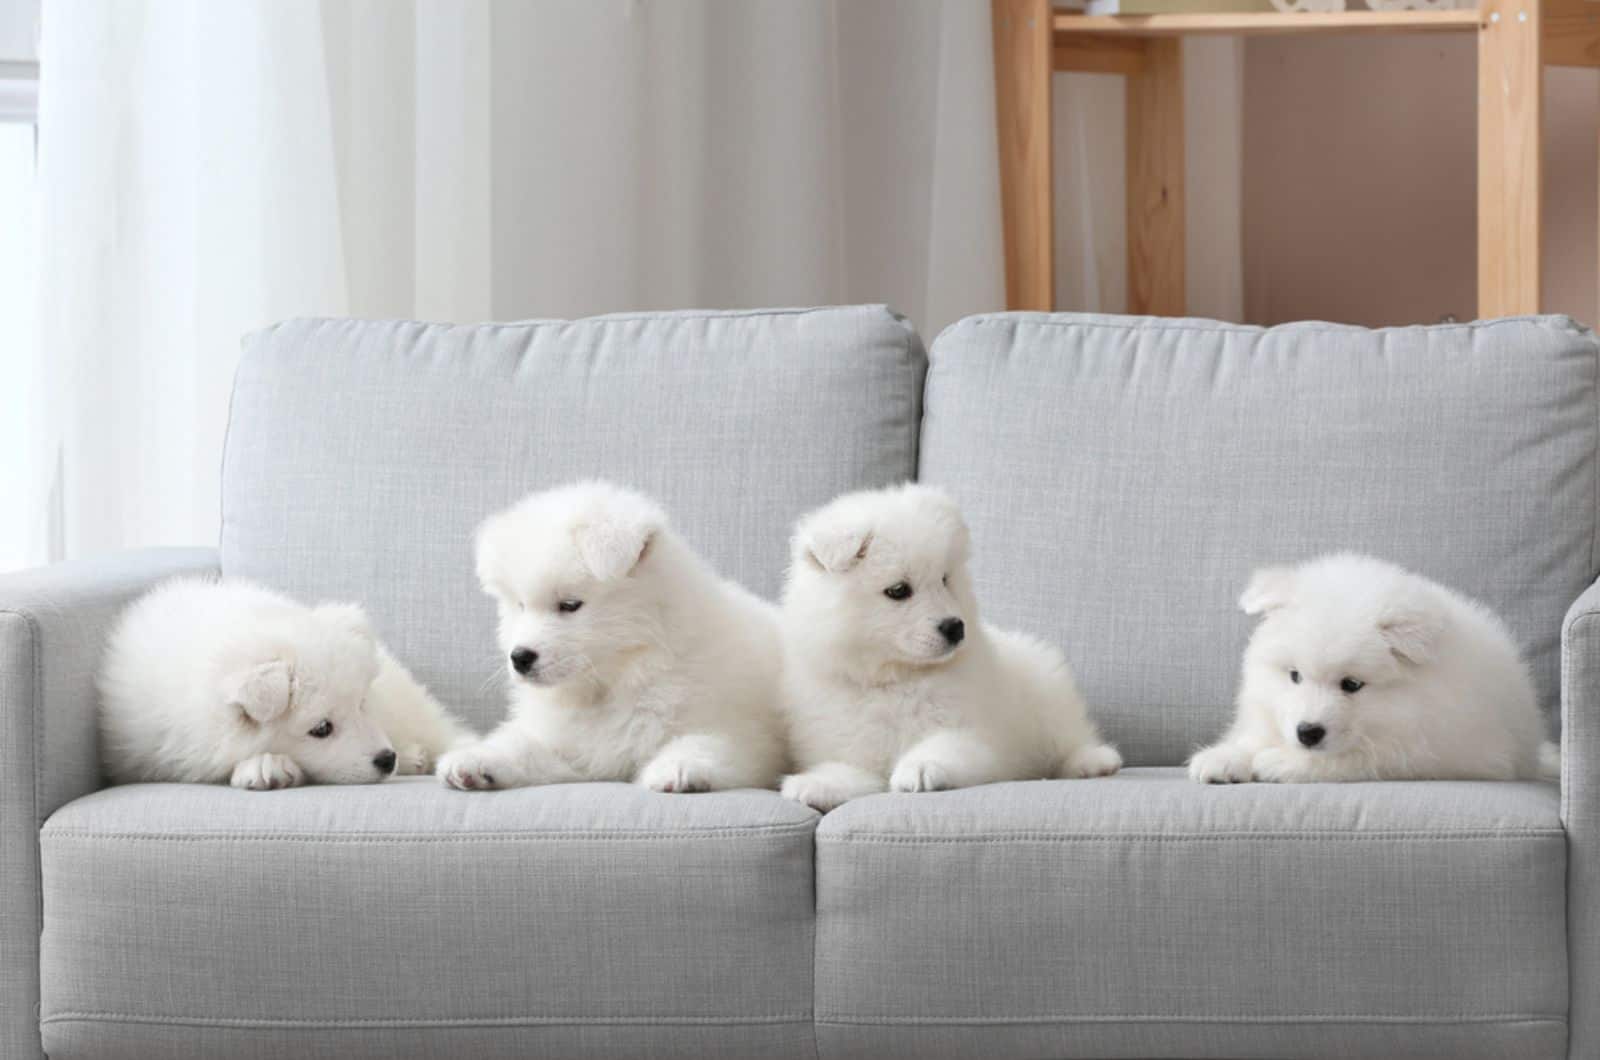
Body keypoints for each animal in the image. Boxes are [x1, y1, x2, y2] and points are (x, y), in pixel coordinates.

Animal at [780, 486, 1120, 816]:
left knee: (1070, 738)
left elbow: (944, 745)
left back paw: (1094, 761)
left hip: (1049, 699)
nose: (955, 627)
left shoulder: (974, 736)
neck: (895, 679)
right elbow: (847, 769)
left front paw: (920, 768)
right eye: (898, 590)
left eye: (945, 579)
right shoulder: (849, 744)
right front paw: (814, 785)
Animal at [1196, 550, 1555, 784]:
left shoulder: (1445, 752)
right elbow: (1254, 735)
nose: (1308, 732)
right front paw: (1225, 756)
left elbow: (1363, 757)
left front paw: (1282, 762)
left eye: (1352, 685)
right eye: (1294, 676)